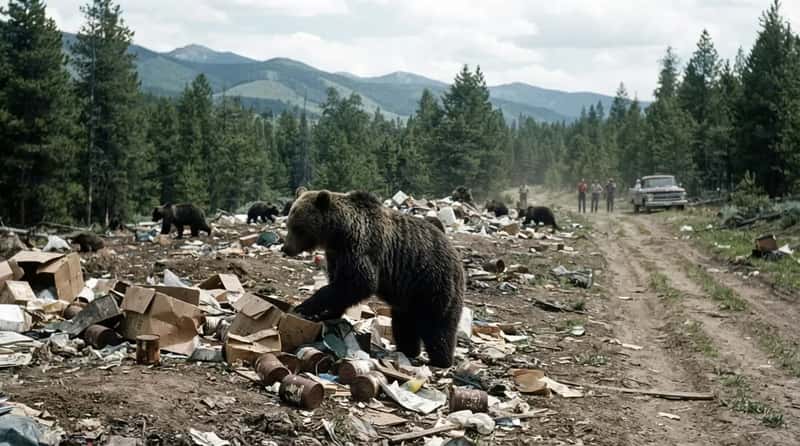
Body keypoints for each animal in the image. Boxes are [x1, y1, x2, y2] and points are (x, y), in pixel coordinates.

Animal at [282, 190, 465, 368]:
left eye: (298, 228)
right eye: (289, 224)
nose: (286, 248)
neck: (337, 234)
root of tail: (457, 257)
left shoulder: (360, 247)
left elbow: (358, 283)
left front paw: (305, 307)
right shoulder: (336, 256)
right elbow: (339, 287)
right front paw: (326, 314)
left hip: (432, 283)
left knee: (437, 326)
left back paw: (441, 360)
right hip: (409, 296)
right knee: (403, 323)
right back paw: (407, 350)